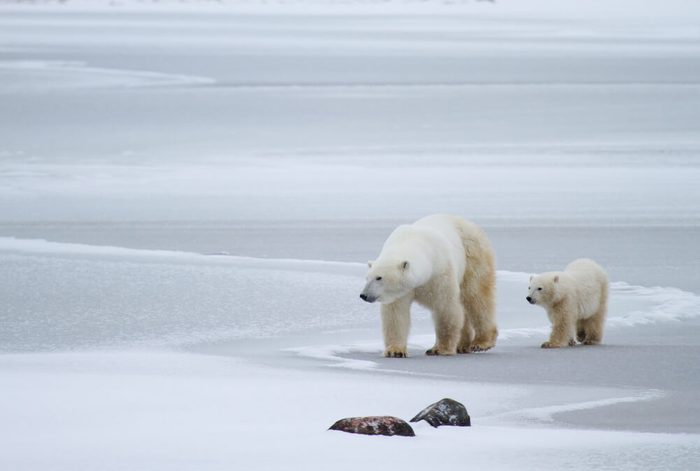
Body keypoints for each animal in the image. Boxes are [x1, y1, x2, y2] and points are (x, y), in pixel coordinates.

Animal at [359, 214, 498, 357]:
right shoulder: (402, 291)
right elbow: (396, 315)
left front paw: (440, 349)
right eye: (367, 277)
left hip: (472, 254)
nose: (364, 295)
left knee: (476, 297)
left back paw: (481, 342)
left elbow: (446, 308)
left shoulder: (440, 273)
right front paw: (395, 351)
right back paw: (462, 345)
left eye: (379, 278)